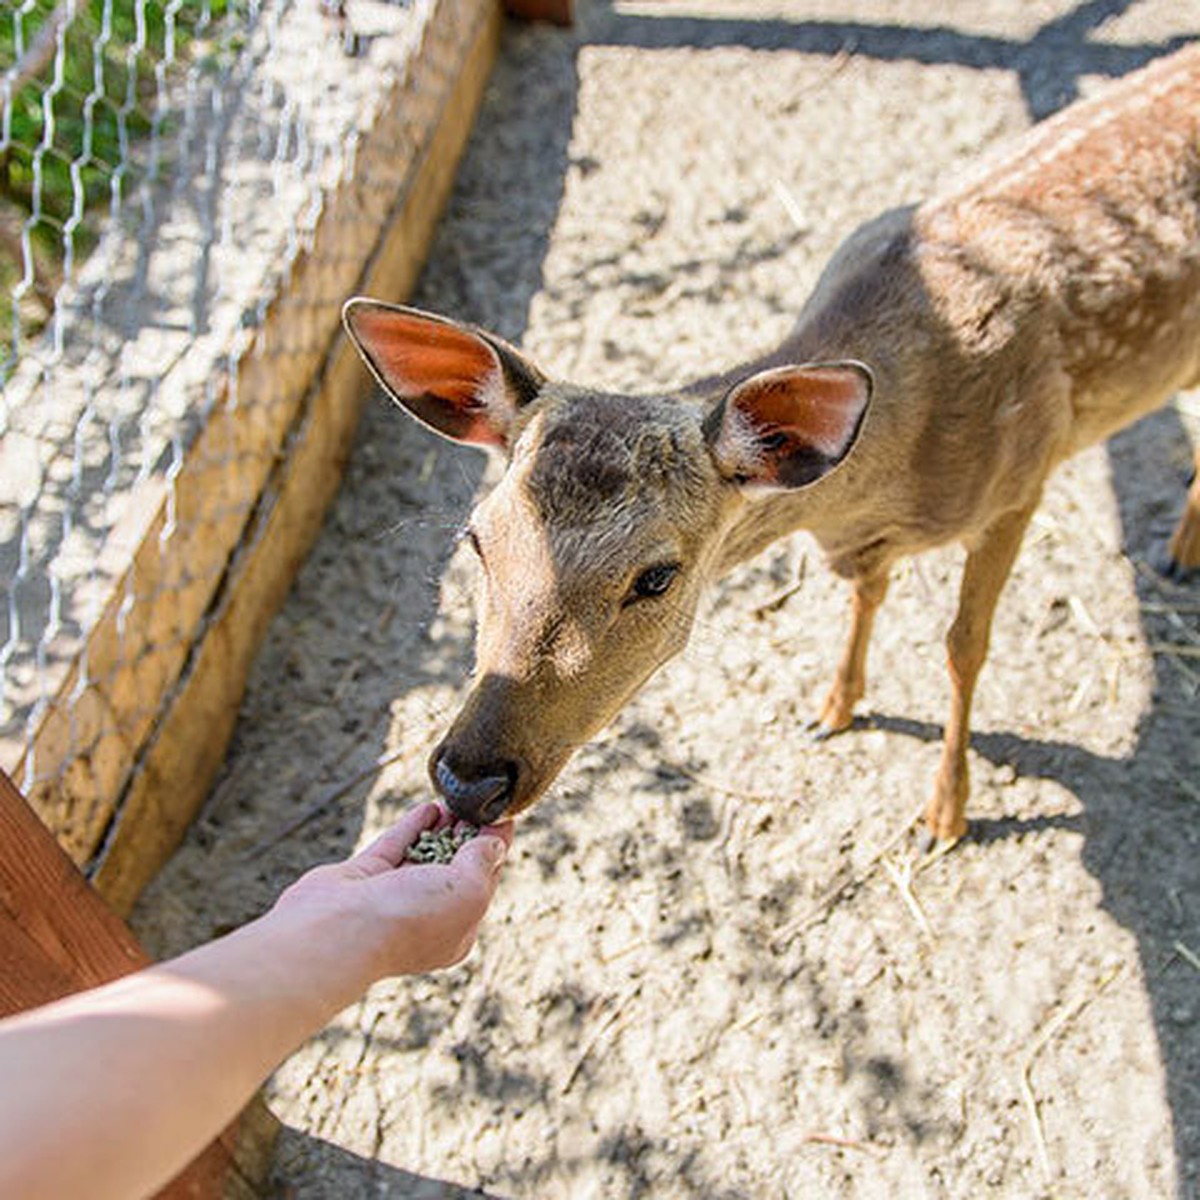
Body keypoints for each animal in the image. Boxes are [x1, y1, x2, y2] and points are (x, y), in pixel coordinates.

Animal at [343, 42, 1200, 849]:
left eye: (656, 577)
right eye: (478, 539)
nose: (468, 778)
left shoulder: (1023, 478)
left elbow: (965, 645)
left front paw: (945, 814)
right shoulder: (866, 538)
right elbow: (865, 592)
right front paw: (835, 707)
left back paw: (1179, 553)